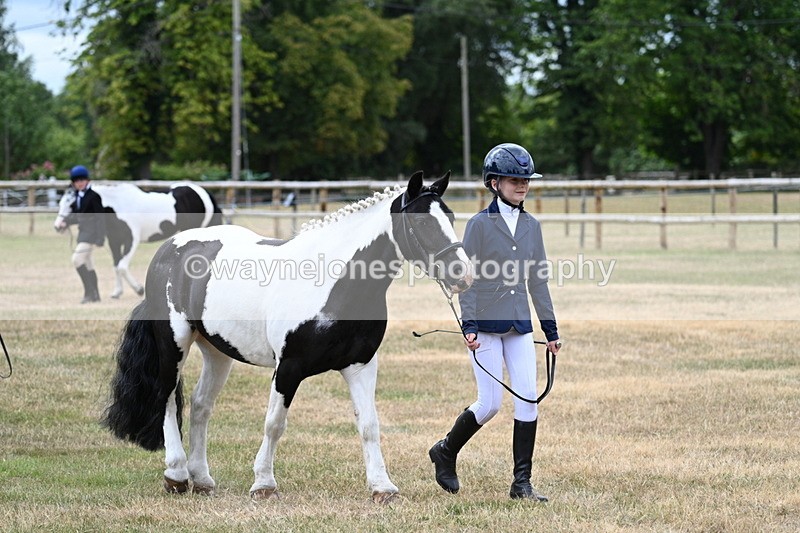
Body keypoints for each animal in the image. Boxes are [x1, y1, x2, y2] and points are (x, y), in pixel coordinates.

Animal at [54, 182, 223, 299]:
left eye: (72, 204)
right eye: (60, 202)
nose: (58, 226)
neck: (118, 206)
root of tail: (204, 193)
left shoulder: (131, 241)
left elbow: (122, 266)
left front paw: (139, 289)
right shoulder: (115, 241)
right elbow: (116, 266)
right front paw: (117, 292)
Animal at [102, 171, 473, 503]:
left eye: (451, 217)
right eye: (422, 223)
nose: (463, 275)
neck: (332, 282)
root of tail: (170, 249)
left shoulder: (361, 365)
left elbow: (369, 425)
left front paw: (382, 487)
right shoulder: (289, 368)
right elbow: (274, 424)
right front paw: (264, 484)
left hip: (217, 352)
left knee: (200, 405)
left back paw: (202, 479)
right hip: (174, 342)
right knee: (166, 398)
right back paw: (177, 475)